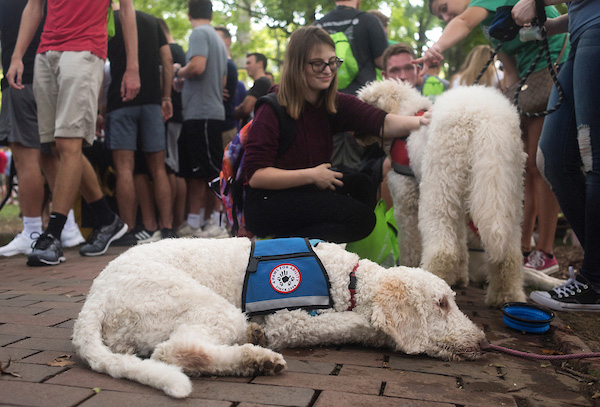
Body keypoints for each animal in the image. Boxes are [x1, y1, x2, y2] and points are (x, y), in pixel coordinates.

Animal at [74, 237, 488, 400]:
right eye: (441, 304)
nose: (484, 342)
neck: (347, 280)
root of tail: (94, 300)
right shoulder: (290, 320)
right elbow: (354, 323)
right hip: (201, 304)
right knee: (172, 351)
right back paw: (257, 357)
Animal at [356, 81, 564, 308]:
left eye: (365, 102)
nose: (354, 134)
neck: (407, 116)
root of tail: (487, 120)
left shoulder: (405, 199)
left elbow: (410, 242)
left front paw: (410, 267)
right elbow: (462, 243)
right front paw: (459, 277)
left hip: (440, 184)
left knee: (444, 249)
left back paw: (430, 279)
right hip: (507, 190)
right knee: (508, 254)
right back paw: (505, 296)